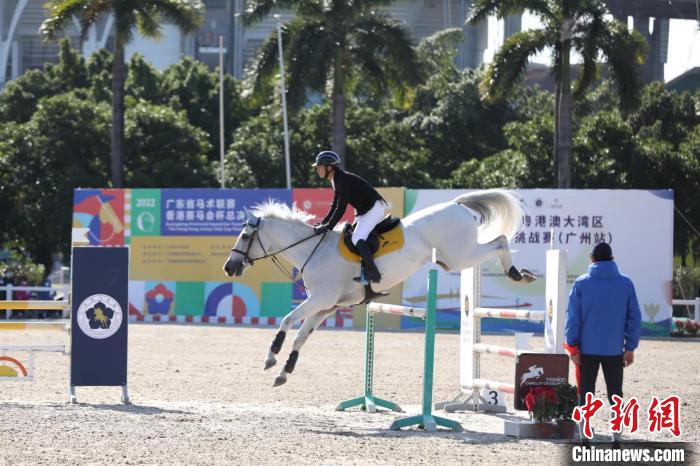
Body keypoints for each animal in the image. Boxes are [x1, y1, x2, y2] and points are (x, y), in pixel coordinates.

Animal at [223, 189, 535, 387]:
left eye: (244, 236)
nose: (229, 267)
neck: (313, 249)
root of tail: (457, 205)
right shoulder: (327, 306)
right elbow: (301, 336)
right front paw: (284, 372)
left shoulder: (320, 299)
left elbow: (287, 321)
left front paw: (271, 357)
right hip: (454, 258)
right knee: (497, 242)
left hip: (461, 256)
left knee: (500, 241)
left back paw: (518, 274)